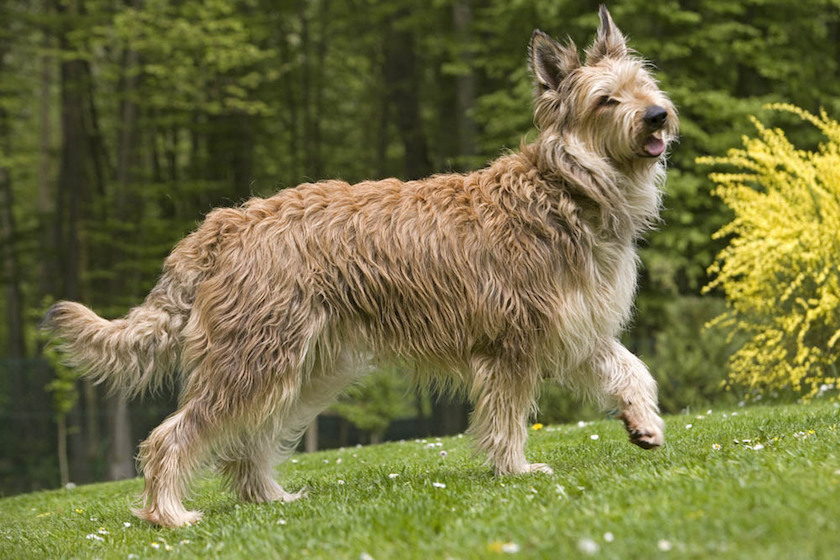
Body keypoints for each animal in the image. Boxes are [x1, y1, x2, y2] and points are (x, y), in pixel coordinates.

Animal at [42, 6, 680, 528]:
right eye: (605, 99)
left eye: (644, 86)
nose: (657, 115)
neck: (568, 187)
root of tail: (228, 221)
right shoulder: (513, 346)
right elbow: (507, 419)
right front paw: (516, 470)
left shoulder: (578, 328)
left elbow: (633, 369)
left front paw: (644, 422)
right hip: (253, 363)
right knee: (172, 436)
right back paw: (168, 514)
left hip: (299, 370)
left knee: (246, 446)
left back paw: (268, 498)